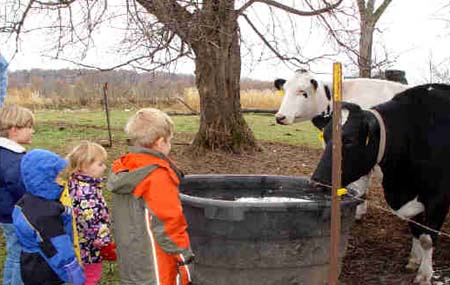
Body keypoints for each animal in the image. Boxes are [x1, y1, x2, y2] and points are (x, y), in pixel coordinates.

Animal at [312, 83, 450, 282]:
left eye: (350, 140)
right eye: (325, 136)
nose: (318, 182)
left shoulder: (438, 199)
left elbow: (427, 238)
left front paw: (424, 274)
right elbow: (416, 229)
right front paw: (414, 260)